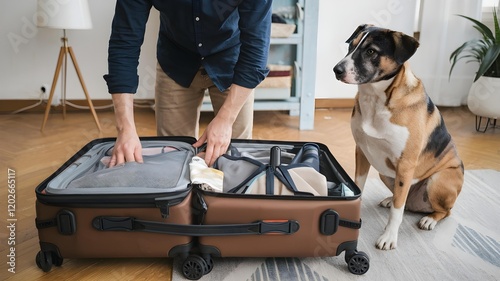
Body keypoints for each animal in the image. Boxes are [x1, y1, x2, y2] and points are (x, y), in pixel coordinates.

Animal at [334, 25, 462, 249]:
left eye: (371, 51)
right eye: (351, 46)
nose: (336, 70)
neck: (377, 99)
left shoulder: (405, 163)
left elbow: (397, 211)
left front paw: (388, 237)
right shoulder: (362, 152)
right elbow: (359, 185)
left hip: (437, 180)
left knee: (443, 211)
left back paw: (429, 219)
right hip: (386, 174)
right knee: (403, 200)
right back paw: (389, 199)